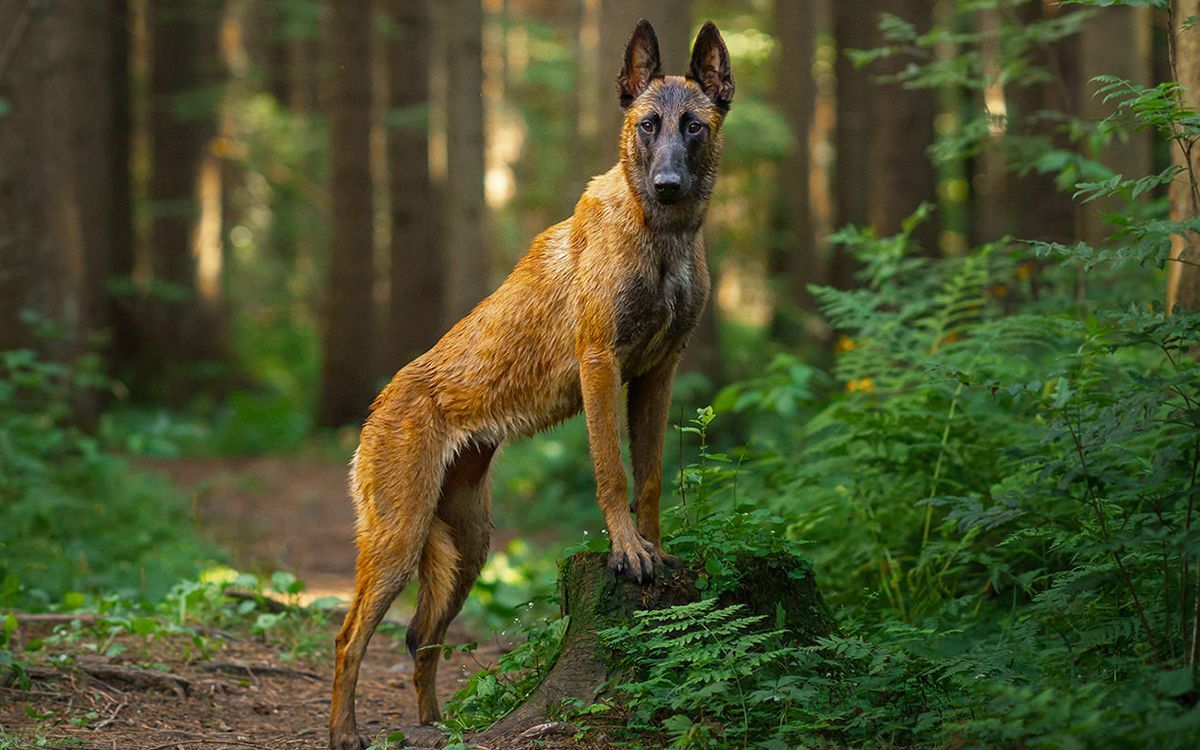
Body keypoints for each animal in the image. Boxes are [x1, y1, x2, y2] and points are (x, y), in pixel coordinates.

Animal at [333, 19, 734, 748]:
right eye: (647, 125)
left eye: (692, 126)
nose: (667, 183)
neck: (662, 237)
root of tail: (380, 405)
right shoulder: (601, 364)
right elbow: (613, 473)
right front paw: (627, 551)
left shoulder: (657, 374)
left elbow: (651, 476)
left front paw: (657, 549)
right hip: (398, 542)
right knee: (350, 639)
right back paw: (345, 733)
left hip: (469, 548)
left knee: (421, 640)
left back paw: (436, 726)